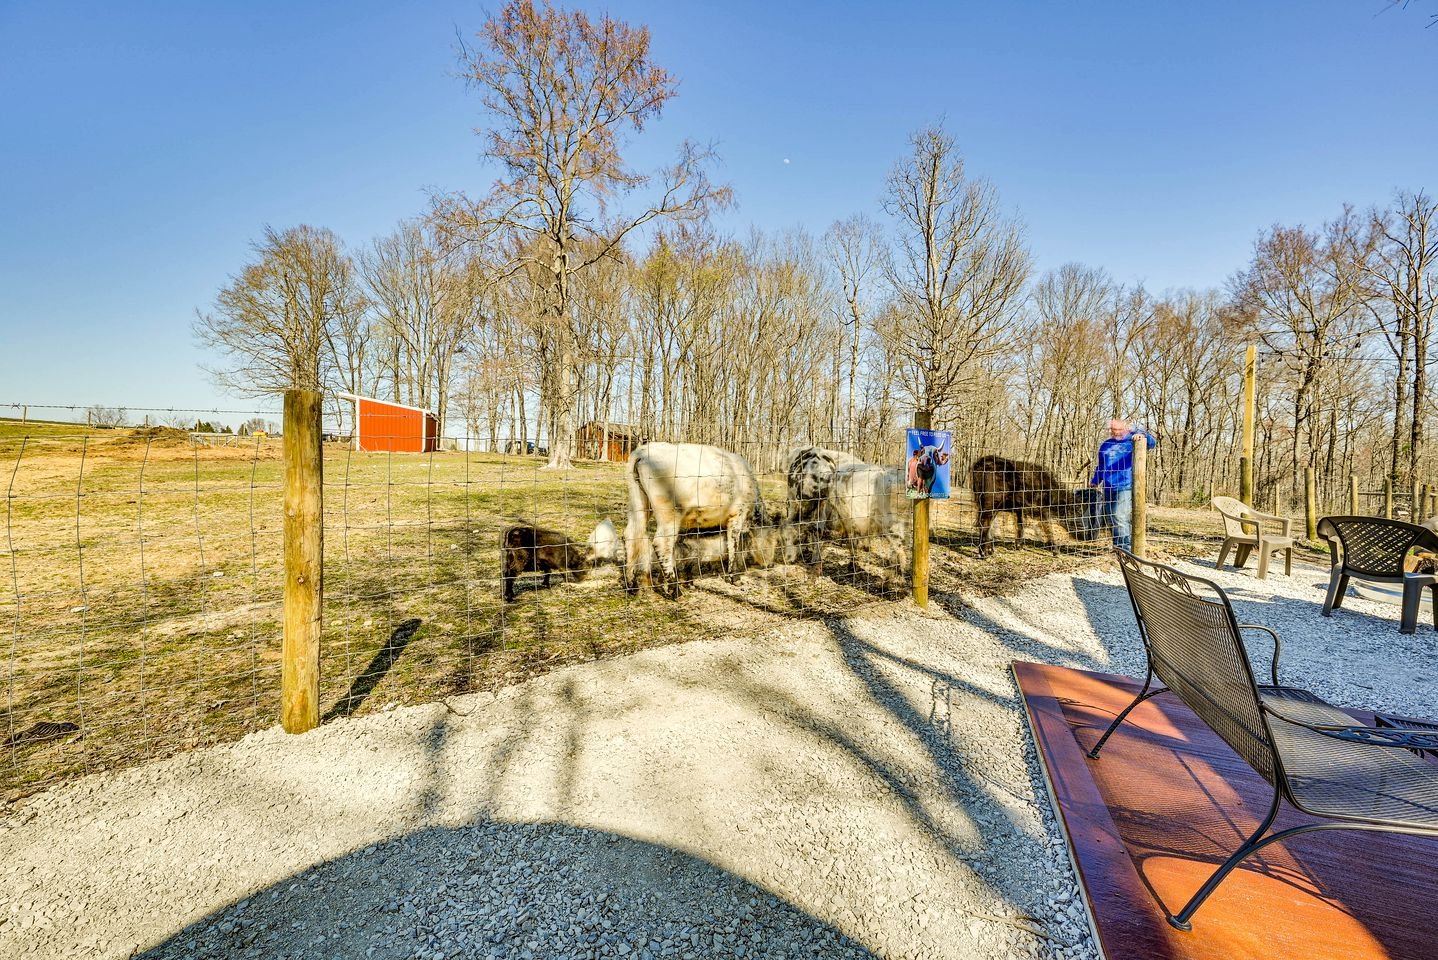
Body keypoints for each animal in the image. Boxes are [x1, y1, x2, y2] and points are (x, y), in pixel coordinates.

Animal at [624, 442, 770, 600]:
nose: (769, 564)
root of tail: (644, 450)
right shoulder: (737, 515)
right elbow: (733, 545)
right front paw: (734, 577)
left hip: (639, 503)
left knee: (631, 535)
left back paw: (631, 584)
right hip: (670, 513)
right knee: (661, 543)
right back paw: (675, 590)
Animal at [966, 457, 1098, 557]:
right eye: (1077, 511)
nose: (1088, 535)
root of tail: (980, 463)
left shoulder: (1019, 509)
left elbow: (1020, 525)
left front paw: (1018, 546)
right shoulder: (1041, 509)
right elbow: (1048, 528)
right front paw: (1055, 551)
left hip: (984, 503)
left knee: (986, 523)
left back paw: (990, 550)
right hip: (991, 501)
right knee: (984, 523)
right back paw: (984, 553)